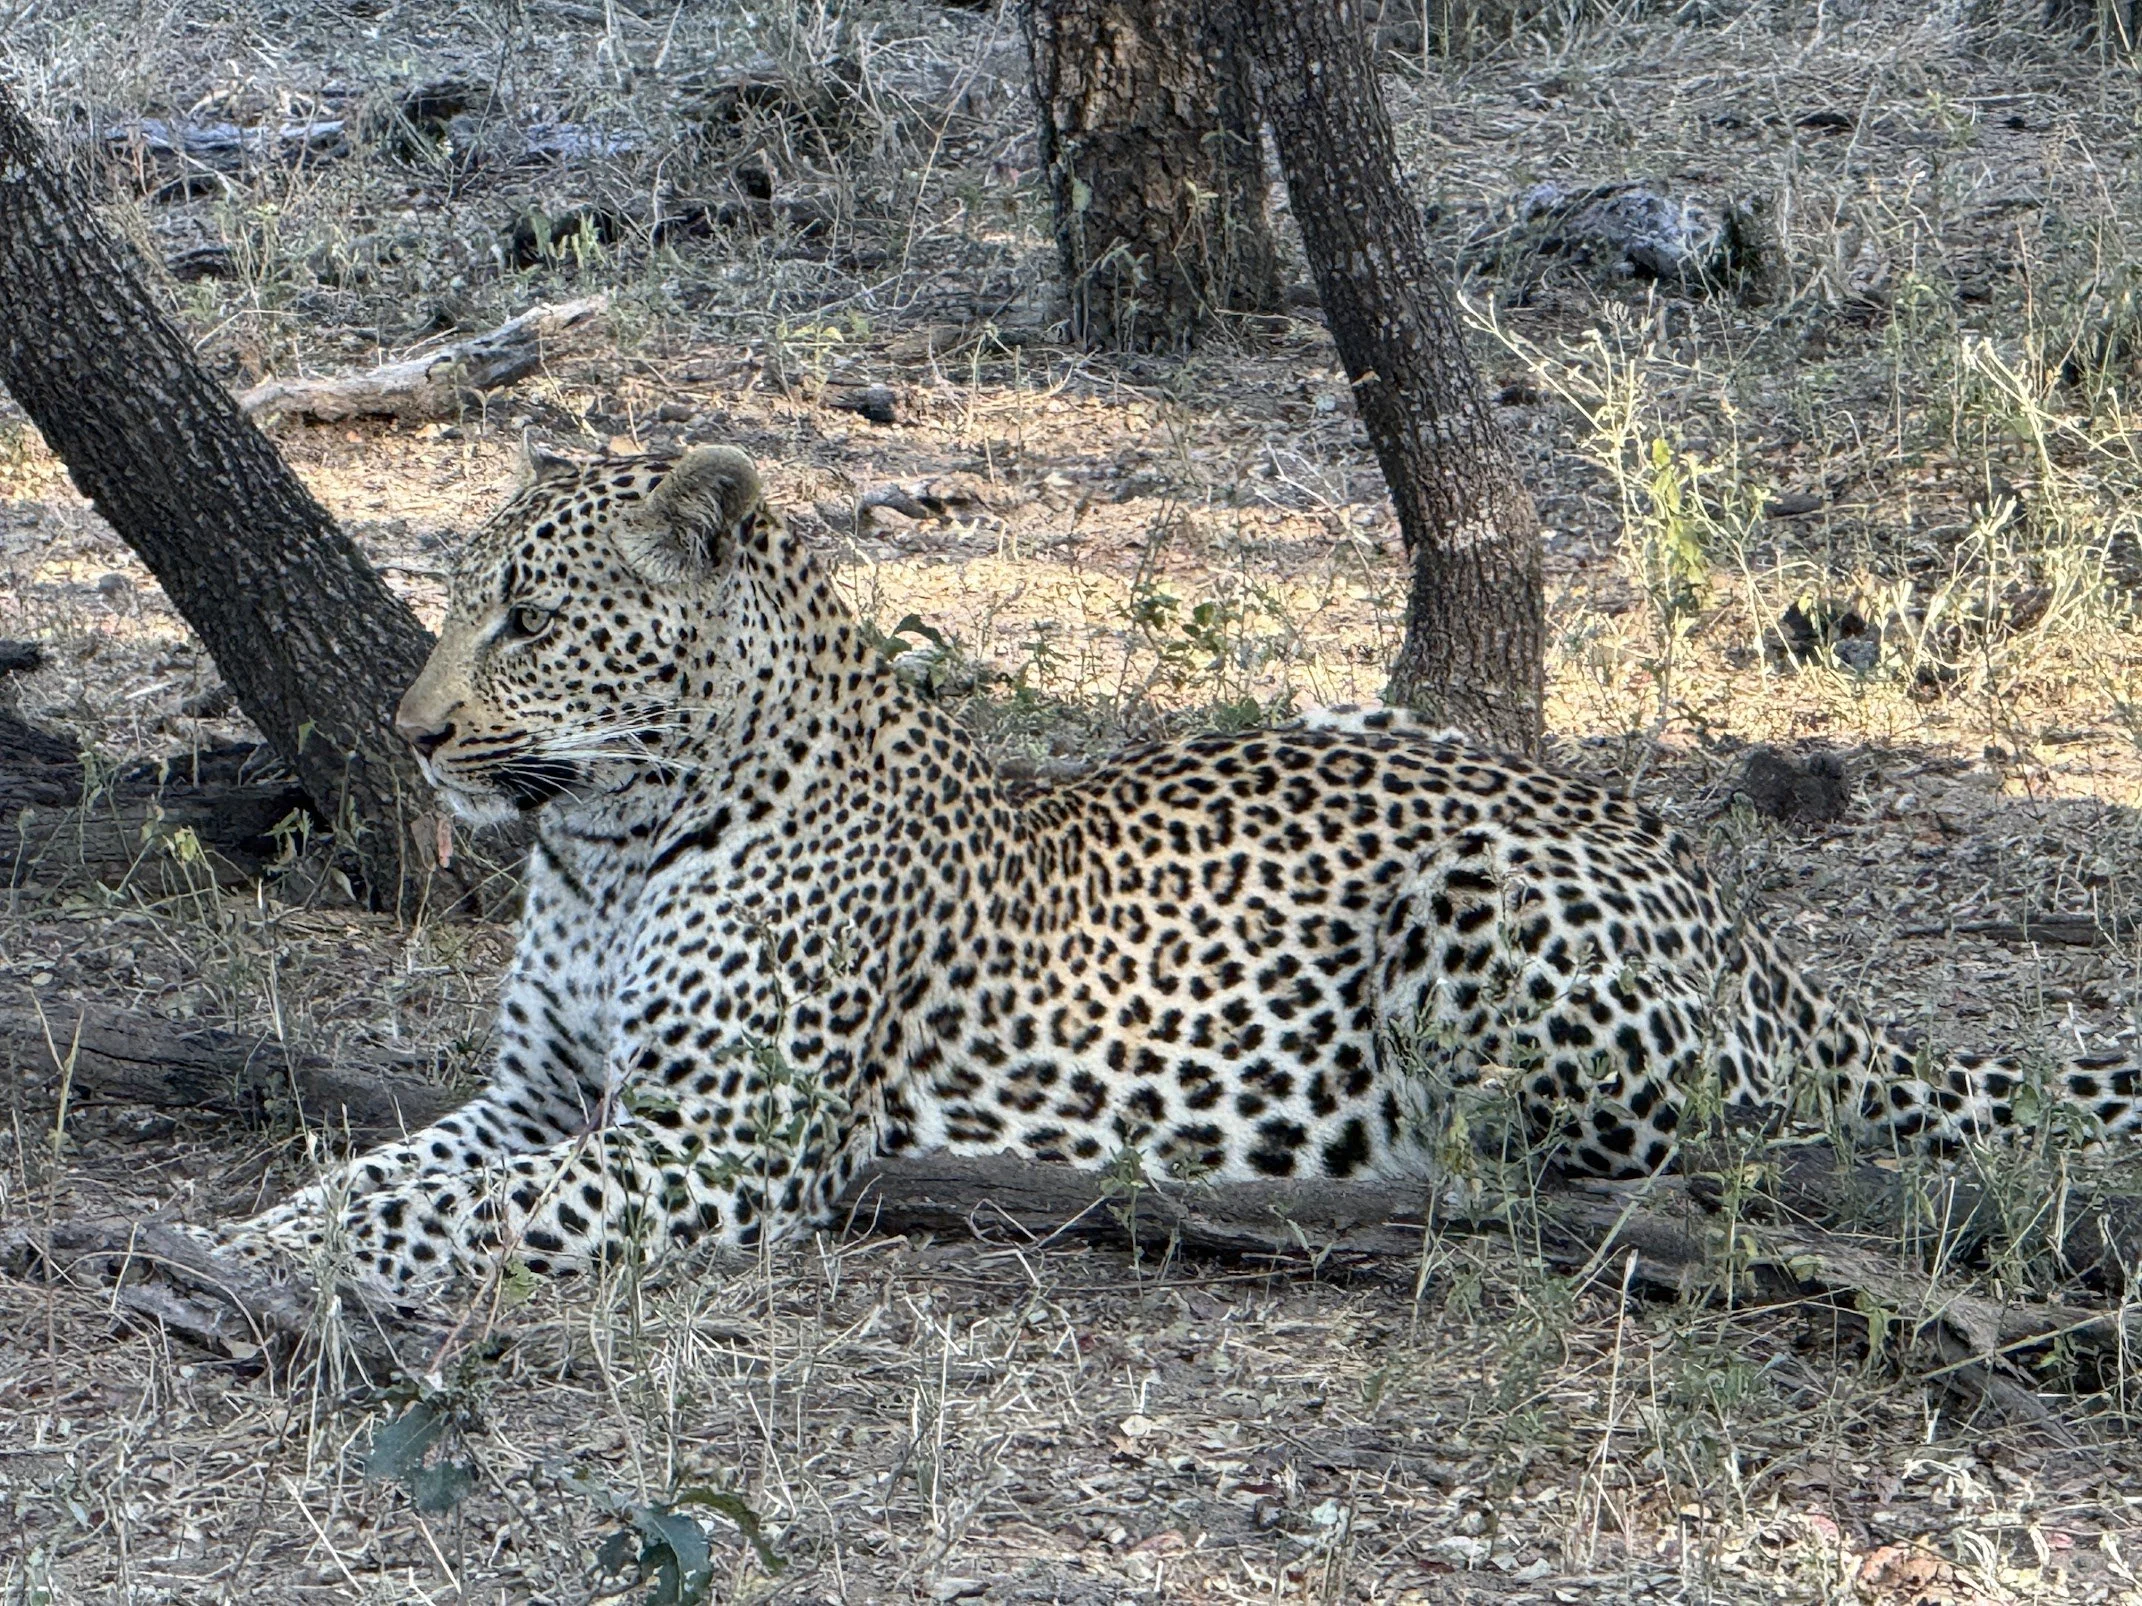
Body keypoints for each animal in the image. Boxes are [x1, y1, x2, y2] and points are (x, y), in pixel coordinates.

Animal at [210, 444, 2142, 1297]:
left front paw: (294, 1258)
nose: (412, 733)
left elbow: (457, 1208)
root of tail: (1735, 915)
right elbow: (402, 1165)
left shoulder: (726, 1137)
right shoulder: (542, 1097)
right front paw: (259, 1227)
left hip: (1476, 913)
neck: (608, 849)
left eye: (528, 619)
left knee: (1667, 1149)